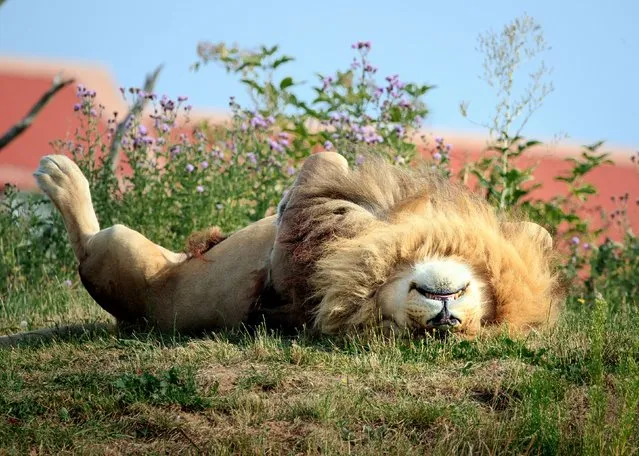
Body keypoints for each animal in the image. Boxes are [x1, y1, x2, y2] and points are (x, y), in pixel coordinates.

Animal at [23, 151, 564, 338]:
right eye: (478, 312)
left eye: (470, 324)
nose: (445, 319)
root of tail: (125, 322)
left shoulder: (299, 259)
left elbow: (320, 167)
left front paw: (287, 199)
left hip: (120, 250)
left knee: (87, 244)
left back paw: (59, 176)